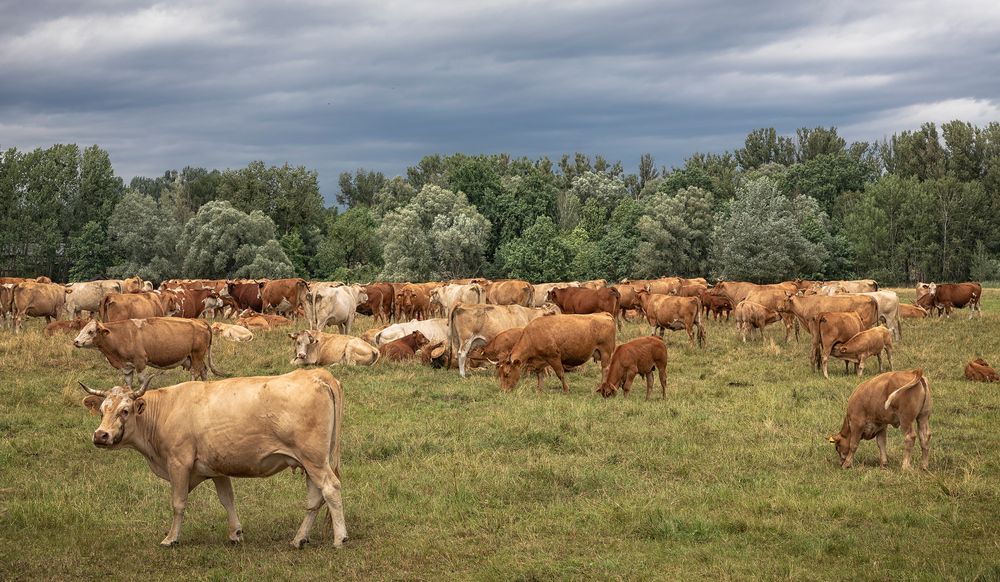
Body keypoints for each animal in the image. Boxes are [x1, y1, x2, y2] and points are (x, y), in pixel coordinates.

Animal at [72, 318, 227, 390]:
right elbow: (128, 382)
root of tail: (199, 320)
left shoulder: (140, 362)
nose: (76, 341)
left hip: (197, 355)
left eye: (90, 331)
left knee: (195, 372)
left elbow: (142, 381)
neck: (121, 335)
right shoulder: (127, 366)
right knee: (204, 370)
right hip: (193, 357)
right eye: (82, 329)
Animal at [77, 372, 348, 548]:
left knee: (330, 488)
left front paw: (171, 538)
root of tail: (318, 375)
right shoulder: (217, 468)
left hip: (314, 459)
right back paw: (299, 539)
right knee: (314, 498)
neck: (164, 410)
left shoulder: (179, 464)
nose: (100, 435)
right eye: (101, 410)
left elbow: (178, 503)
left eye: (125, 410)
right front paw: (235, 533)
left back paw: (340, 538)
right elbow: (227, 500)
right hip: (310, 462)